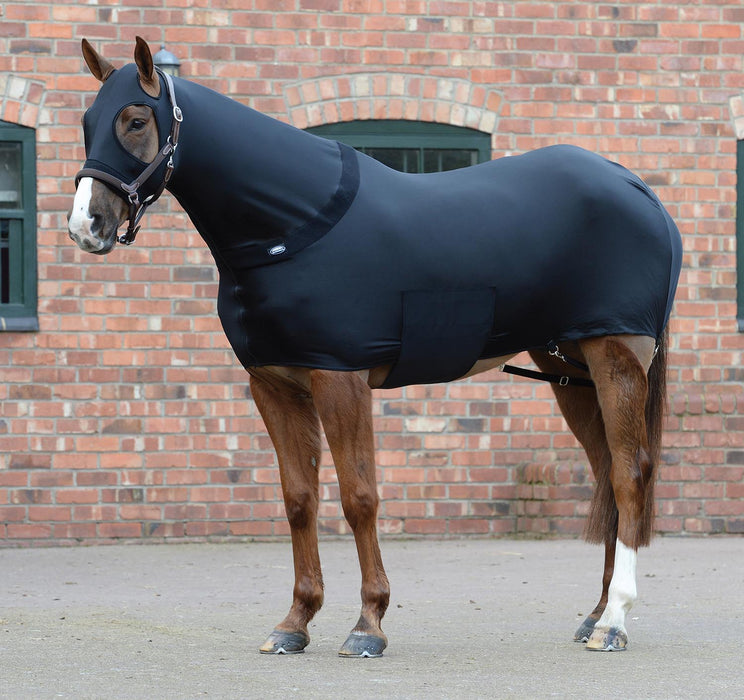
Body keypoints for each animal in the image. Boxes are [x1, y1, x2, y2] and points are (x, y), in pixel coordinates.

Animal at [68, 37, 682, 657]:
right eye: (88, 122)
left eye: (136, 120)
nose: (85, 226)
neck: (295, 226)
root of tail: (636, 188)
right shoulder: (273, 386)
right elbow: (299, 499)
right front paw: (294, 623)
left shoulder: (341, 378)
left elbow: (358, 497)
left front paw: (368, 624)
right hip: (569, 370)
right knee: (607, 476)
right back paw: (594, 616)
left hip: (615, 358)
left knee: (630, 474)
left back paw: (615, 622)